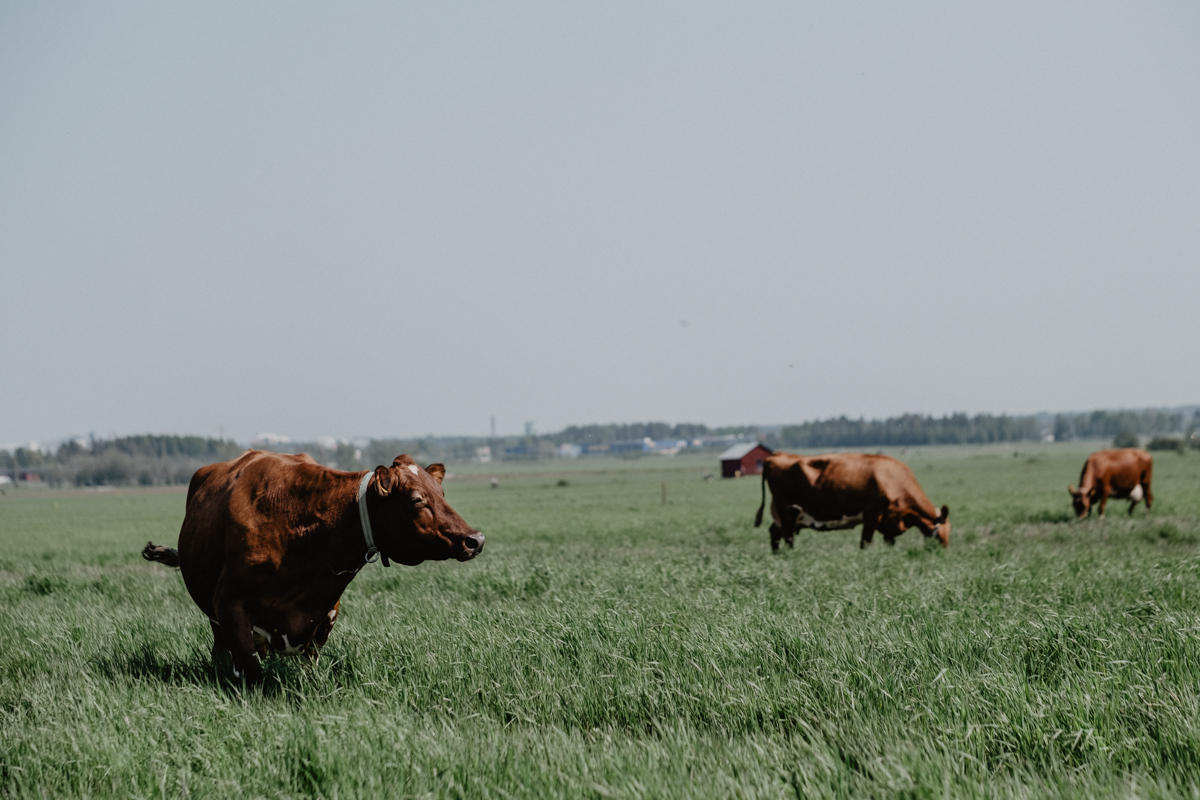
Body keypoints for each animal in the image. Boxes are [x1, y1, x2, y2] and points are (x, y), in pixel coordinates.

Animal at [146, 450, 487, 681]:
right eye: (416, 499)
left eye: (441, 492)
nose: (475, 539)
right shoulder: (229, 603)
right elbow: (251, 670)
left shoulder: (325, 613)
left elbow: (308, 666)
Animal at [753, 453, 950, 554]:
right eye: (944, 530)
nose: (944, 550)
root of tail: (776, 456)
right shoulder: (872, 514)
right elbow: (865, 541)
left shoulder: (889, 520)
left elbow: (889, 541)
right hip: (788, 511)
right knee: (787, 537)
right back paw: (790, 554)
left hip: (784, 515)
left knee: (774, 532)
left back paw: (776, 554)